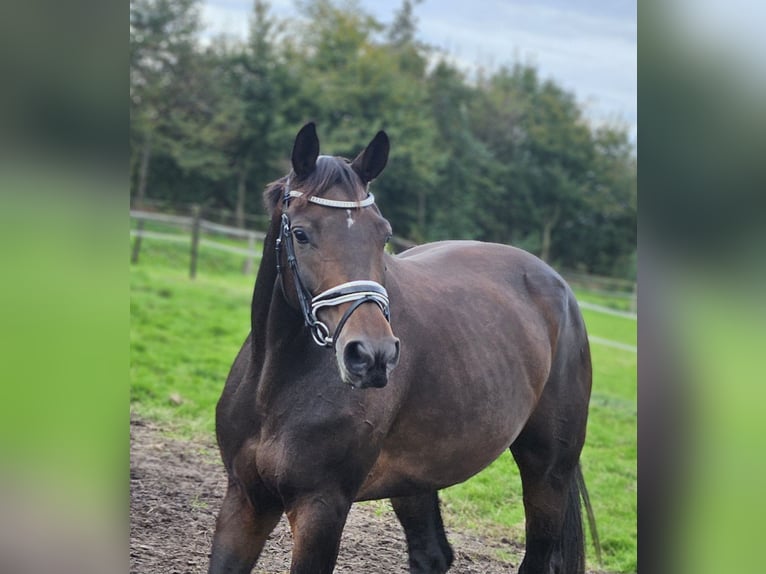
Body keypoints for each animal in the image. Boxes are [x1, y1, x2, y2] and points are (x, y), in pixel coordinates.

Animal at [210, 125, 600, 574]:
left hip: (548, 471)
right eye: (301, 233)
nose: (372, 355)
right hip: (417, 478)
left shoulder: (321, 509)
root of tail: (558, 285)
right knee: (432, 555)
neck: (274, 384)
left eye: (383, 234)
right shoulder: (244, 500)